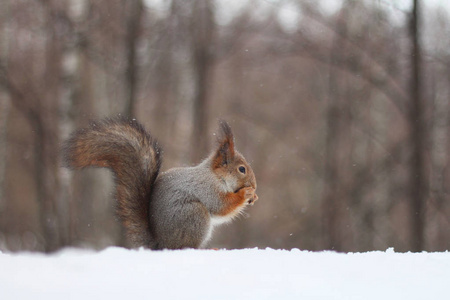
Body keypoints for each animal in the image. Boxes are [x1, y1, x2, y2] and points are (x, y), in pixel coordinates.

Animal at [64, 117, 258, 248]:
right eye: (242, 169)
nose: (255, 185)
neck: (216, 176)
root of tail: (161, 244)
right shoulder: (207, 188)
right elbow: (221, 206)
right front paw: (246, 193)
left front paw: (253, 196)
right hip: (194, 215)